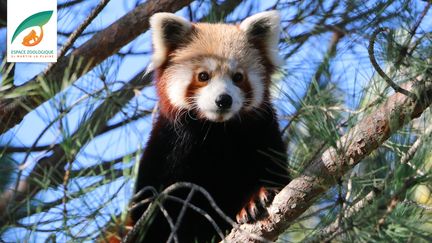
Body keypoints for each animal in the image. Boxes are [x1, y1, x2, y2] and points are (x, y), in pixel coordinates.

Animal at [130, 9, 288, 243]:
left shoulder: (262, 132)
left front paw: (256, 199)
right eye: (203, 76)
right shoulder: (167, 148)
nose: (223, 100)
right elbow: (153, 214)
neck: (215, 131)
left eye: (238, 77)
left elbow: (275, 173)